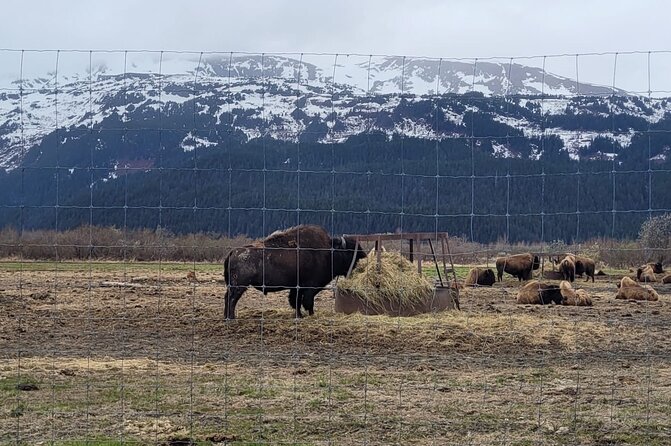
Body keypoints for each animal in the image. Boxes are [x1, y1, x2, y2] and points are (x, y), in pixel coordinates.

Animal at [223, 225, 364, 318]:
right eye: (350, 252)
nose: (363, 258)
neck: (329, 252)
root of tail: (232, 252)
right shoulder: (309, 287)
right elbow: (307, 302)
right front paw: (309, 315)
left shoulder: (297, 288)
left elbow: (296, 301)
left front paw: (299, 315)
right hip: (239, 286)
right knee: (232, 299)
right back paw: (232, 318)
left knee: (227, 297)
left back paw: (226, 317)